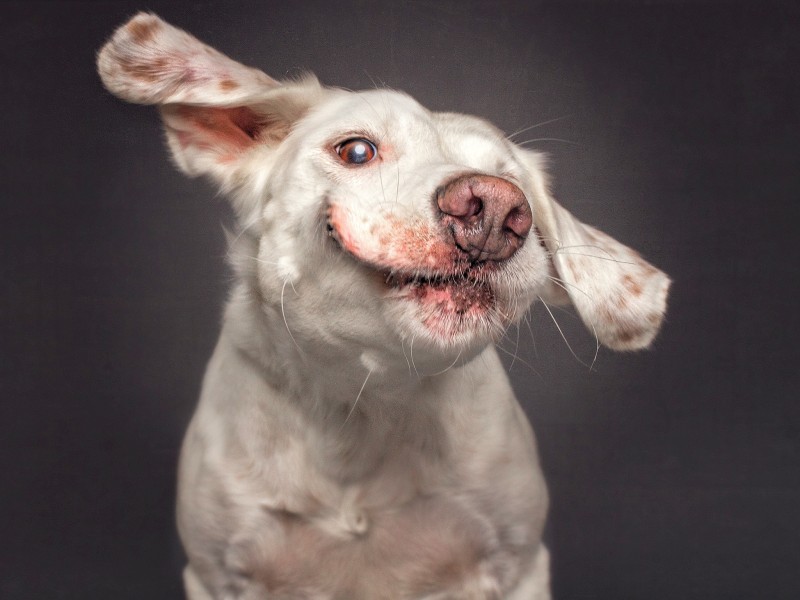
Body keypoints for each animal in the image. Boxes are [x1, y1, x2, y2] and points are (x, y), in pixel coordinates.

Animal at [97, 14, 672, 600]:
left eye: (514, 184)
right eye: (356, 151)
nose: (496, 209)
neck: (363, 401)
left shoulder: (520, 567)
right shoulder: (214, 576)